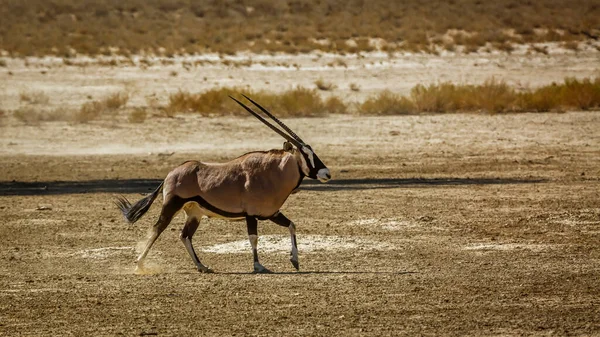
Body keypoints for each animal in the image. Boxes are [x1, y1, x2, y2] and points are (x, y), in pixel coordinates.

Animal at [115, 94, 330, 272]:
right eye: (307, 155)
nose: (326, 173)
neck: (272, 173)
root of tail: (170, 174)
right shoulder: (251, 214)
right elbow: (253, 238)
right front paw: (258, 266)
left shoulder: (271, 213)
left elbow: (292, 225)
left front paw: (295, 260)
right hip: (171, 206)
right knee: (157, 229)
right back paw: (140, 264)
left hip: (194, 213)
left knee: (185, 235)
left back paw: (202, 266)